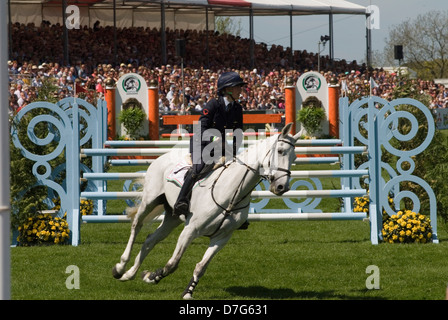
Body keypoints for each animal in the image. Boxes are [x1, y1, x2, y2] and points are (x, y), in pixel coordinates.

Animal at [112, 123, 300, 300]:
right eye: (280, 151)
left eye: (294, 157)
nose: (282, 187)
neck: (232, 192)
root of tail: (164, 156)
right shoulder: (190, 230)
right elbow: (173, 264)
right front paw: (152, 277)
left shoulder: (222, 237)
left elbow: (201, 267)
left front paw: (187, 291)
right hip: (149, 201)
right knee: (136, 226)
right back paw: (120, 267)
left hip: (172, 217)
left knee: (150, 240)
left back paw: (130, 273)